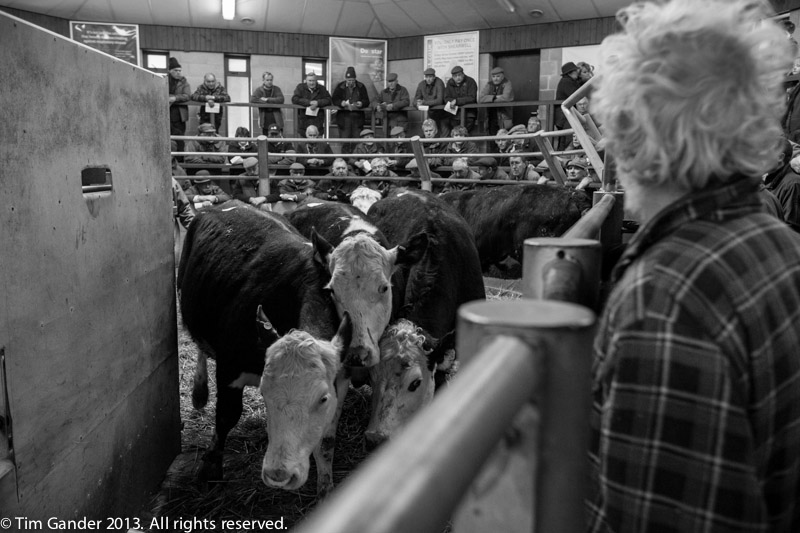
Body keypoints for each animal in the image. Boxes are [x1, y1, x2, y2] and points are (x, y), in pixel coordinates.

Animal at [177, 202, 352, 492]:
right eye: (264, 394)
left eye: (323, 398)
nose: (279, 474)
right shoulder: (229, 367)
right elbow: (226, 415)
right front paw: (210, 467)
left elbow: (327, 442)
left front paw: (325, 488)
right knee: (200, 346)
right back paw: (199, 392)